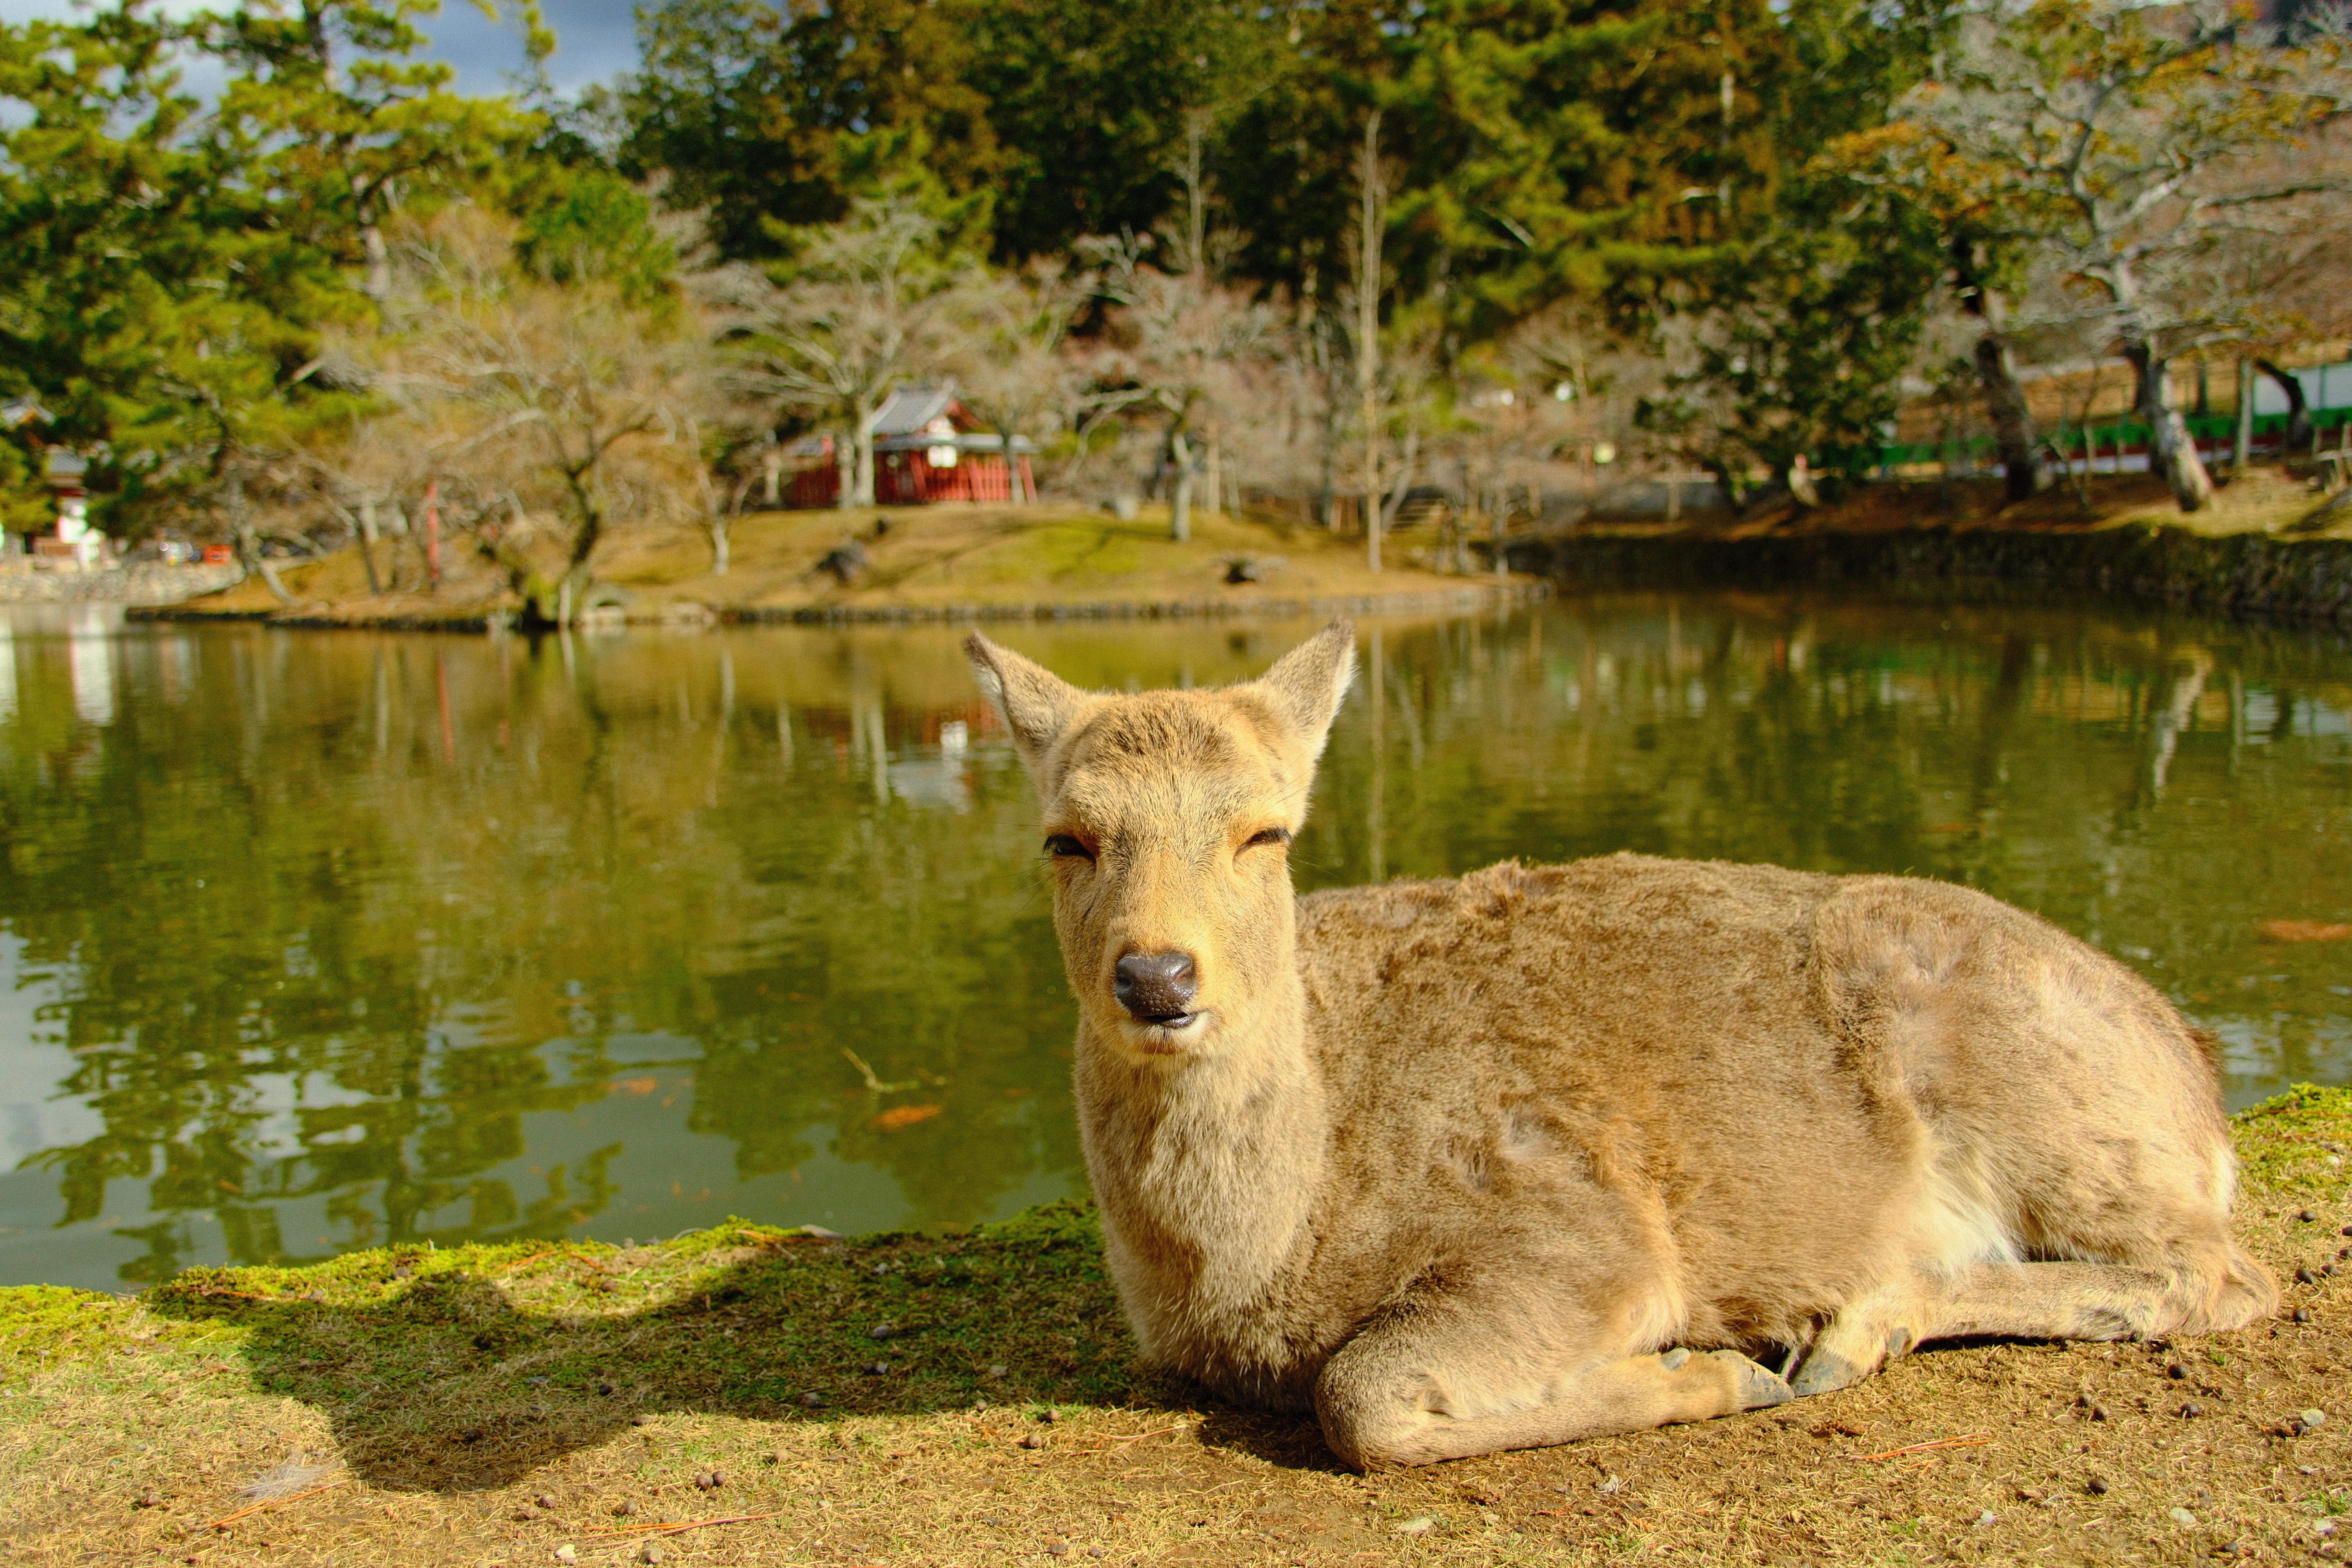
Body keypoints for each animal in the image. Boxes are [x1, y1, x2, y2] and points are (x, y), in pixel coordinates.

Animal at [964, 619, 2277, 1470]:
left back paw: (1838, 1335)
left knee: (2220, 1274)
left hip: (2051, 1106)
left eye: (1266, 832)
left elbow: (1363, 1397)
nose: (1157, 977)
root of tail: (2200, 1081)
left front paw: (1709, 1372)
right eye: (1066, 837)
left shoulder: (1576, 1224)